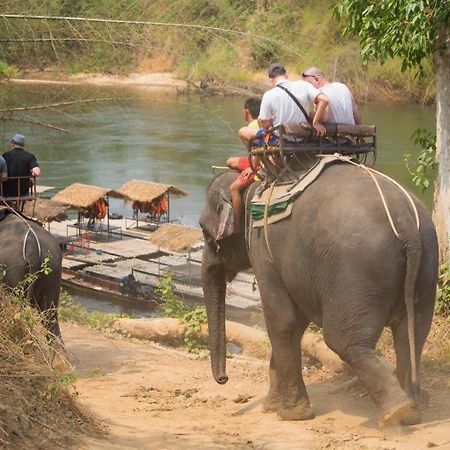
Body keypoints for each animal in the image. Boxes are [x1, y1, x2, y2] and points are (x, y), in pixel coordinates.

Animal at [200, 162, 440, 426]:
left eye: (204, 231)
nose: (223, 379)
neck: (254, 186)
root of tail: (406, 225)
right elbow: (294, 322)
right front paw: (272, 408)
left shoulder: (263, 250)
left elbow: (282, 320)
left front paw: (292, 415)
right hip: (426, 269)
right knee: (412, 336)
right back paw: (410, 414)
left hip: (355, 275)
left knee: (343, 340)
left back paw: (396, 411)